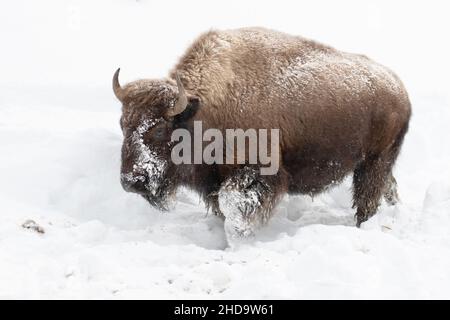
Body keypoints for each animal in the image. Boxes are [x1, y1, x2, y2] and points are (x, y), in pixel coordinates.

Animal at [111, 27, 412, 242]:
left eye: (160, 128)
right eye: (123, 123)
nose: (132, 181)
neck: (202, 110)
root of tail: (399, 89)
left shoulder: (257, 172)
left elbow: (232, 203)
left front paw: (240, 235)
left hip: (375, 162)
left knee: (367, 198)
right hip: (375, 164)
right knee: (389, 187)